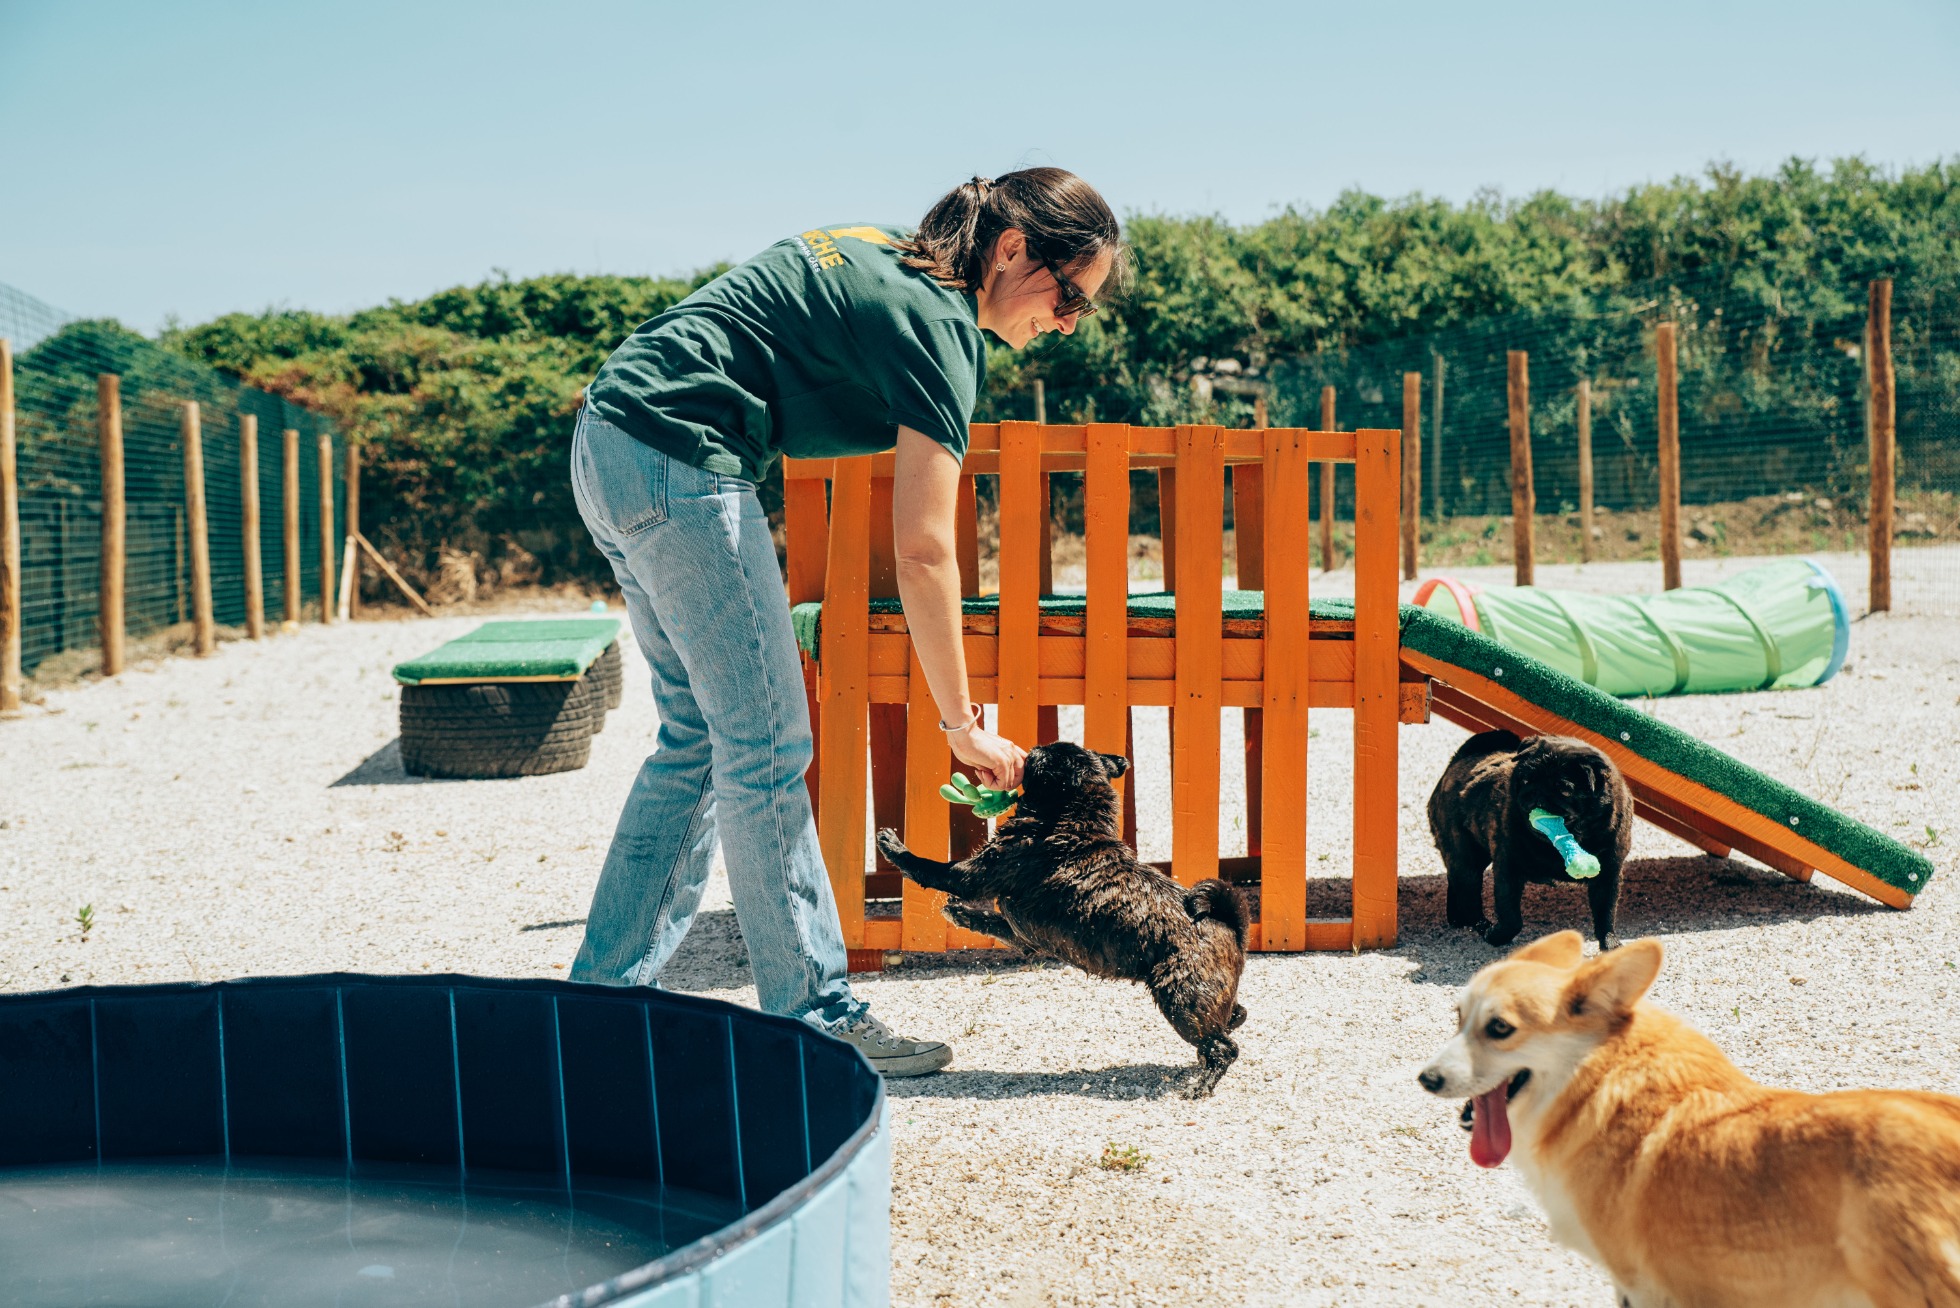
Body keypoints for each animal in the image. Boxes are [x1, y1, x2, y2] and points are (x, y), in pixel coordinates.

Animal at [882, 741, 1246, 1098]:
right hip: (1203, 998)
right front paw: (960, 913)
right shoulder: (1021, 933)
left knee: (1225, 1047)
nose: (1029, 750)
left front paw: (894, 846)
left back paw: (1201, 1085)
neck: (1069, 823)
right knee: (1234, 1018)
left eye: (1044, 753)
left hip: (1182, 999)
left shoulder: (974, 875)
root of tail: (1228, 925)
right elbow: (990, 921)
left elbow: (928, 868)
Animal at [1434, 725, 1630, 953]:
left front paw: (1610, 942)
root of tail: (1458, 762)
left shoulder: (1608, 874)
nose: (1537, 794)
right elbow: (1511, 916)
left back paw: (1457, 919)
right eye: (1526, 780)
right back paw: (1480, 925)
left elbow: (1606, 913)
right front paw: (1498, 935)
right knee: (1468, 893)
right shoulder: (1508, 868)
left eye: (1564, 790)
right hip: (1465, 859)